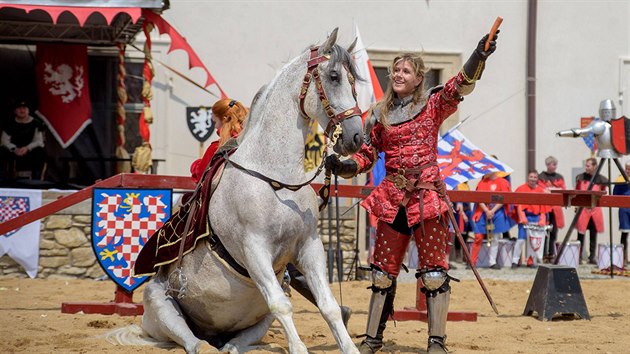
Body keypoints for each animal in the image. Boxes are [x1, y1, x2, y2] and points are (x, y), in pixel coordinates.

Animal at [114, 29, 366, 352]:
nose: (355, 136)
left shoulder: (309, 247)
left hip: (256, 324)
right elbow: (281, 304)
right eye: (334, 76)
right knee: (196, 344)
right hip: (160, 304)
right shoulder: (254, 248)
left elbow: (328, 306)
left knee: (234, 344)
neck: (276, 180)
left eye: (353, 80)